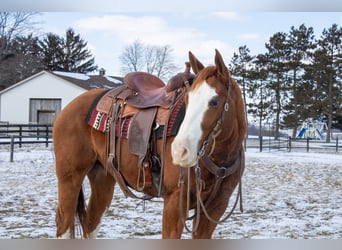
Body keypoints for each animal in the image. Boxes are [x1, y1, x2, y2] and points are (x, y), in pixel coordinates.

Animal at [52, 49, 246, 239]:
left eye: (214, 102)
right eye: (187, 100)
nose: (179, 151)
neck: (219, 158)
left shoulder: (214, 209)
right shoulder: (174, 203)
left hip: (103, 177)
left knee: (90, 224)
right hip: (70, 177)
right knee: (64, 223)